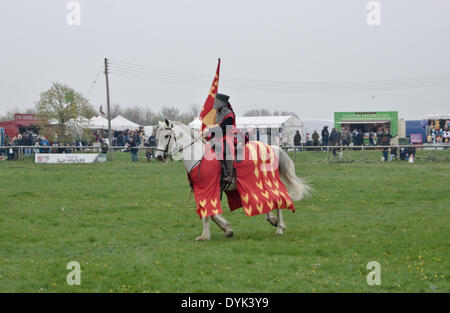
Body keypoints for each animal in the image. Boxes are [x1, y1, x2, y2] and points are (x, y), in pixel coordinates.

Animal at [155, 118, 310, 240]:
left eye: (167, 135)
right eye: (157, 137)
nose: (158, 156)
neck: (199, 156)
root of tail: (273, 148)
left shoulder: (208, 188)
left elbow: (207, 214)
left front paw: (204, 236)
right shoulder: (204, 190)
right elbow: (211, 213)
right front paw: (227, 229)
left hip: (269, 181)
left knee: (278, 199)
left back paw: (279, 228)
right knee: (269, 200)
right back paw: (274, 221)